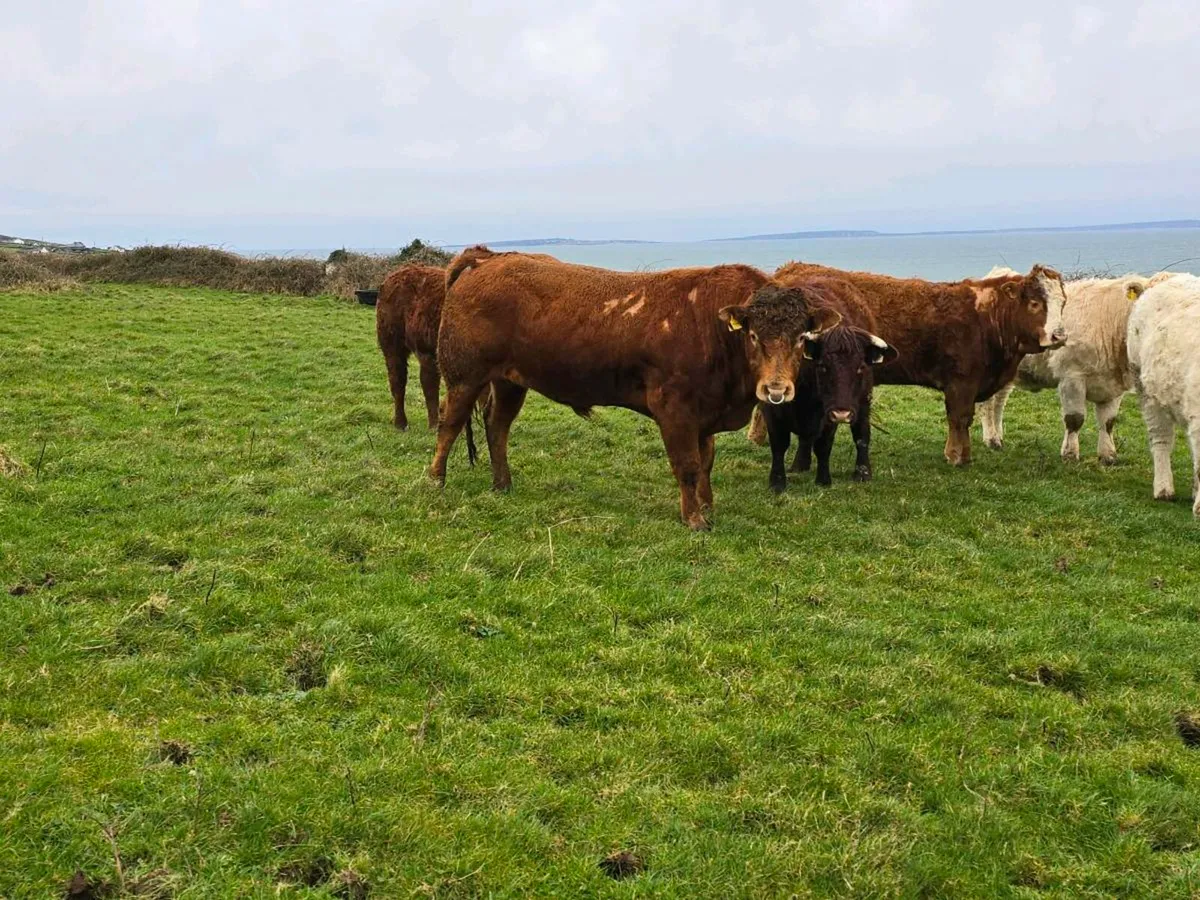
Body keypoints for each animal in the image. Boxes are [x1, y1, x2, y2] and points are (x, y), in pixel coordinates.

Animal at [428, 247, 840, 530]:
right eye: (754, 336)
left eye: (802, 337)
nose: (776, 388)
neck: (714, 329)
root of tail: (489, 258)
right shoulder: (674, 411)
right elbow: (688, 465)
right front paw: (694, 519)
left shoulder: (704, 413)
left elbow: (706, 462)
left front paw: (707, 505)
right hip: (464, 374)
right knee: (450, 424)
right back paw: (436, 480)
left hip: (510, 381)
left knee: (497, 427)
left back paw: (502, 483)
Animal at [755, 278, 897, 492]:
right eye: (822, 366)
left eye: (861, 367)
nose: (842, 413)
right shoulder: (771, 408)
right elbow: (779, 444)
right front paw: (777, 482)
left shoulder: (829, 412)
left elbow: (824, 446)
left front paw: (823, 480)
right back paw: (800, 464)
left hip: (863, 402)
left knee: (861, 434)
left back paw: (862, 472)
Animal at [774, 261, 1067, 466]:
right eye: (1034, 303)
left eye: (1062, 303)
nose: (1059, 336)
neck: (986, 317)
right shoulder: (961, 382)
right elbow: (960, 418)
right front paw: (957, 456)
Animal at [976, 269, 1148, 463]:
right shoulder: (1071, 377)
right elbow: (1075, 419)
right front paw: (1070, 454)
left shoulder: (1114, 385)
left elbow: (1108, 421)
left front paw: (1108, 456)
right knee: (987, 403)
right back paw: (991, 439)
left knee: (999, 402)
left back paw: (998, 437)